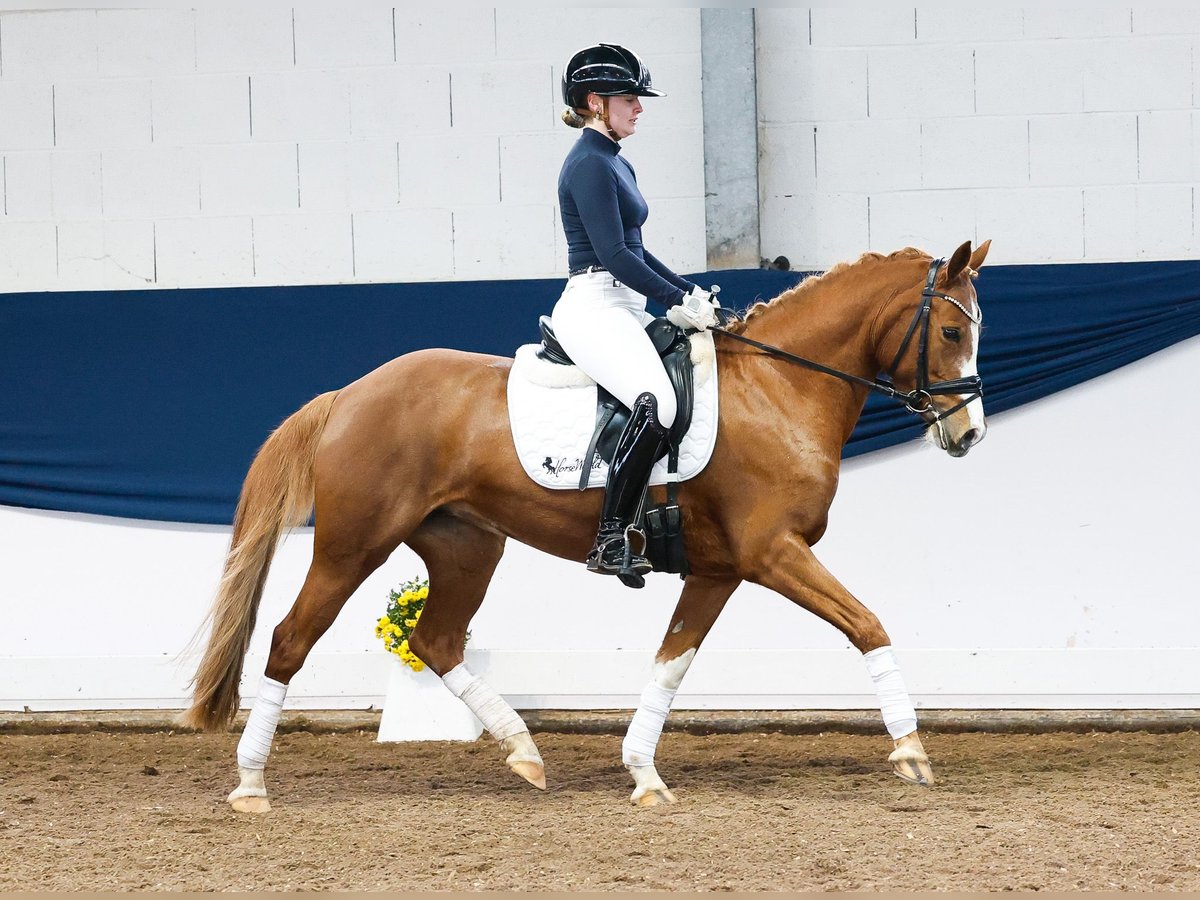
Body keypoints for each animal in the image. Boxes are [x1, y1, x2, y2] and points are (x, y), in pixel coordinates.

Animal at [182, 237, 988, 811]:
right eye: (952, 331)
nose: (968, 434)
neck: (779, 385)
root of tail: (348, 393)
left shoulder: (720, 571)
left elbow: (671, 662)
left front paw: (643, 773)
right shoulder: (772, 553)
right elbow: (868, 624)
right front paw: (911, 750)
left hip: (467, 546)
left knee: (435, 639)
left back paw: (524, 752)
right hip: (353, 547)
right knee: (291, 639)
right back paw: (251, 785)